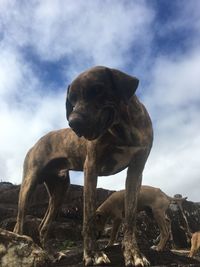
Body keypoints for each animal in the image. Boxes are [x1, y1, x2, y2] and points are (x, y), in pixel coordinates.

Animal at [14, 66, 153, 266]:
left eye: (97, 89)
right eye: (71, 100)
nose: (73, 123)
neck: (122, 129)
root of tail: (36, 143)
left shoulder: (135, 171)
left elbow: (131, 218)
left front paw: (134, 254)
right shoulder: (91, 168)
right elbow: (88, 218)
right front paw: (93, 253)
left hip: (60, 191)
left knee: (43, 227)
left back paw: (52, 254)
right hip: (28, 185)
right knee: (19, 224)